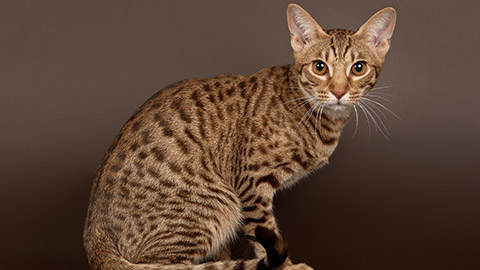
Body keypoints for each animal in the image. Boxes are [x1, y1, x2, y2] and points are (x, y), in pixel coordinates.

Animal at [83, 2, 398, 270]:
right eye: (320, 67)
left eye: (358, 68)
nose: (339, 91)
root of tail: (93, 237)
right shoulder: (251, 184)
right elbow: (263, 234)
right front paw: (285, 266)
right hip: (217, 203)